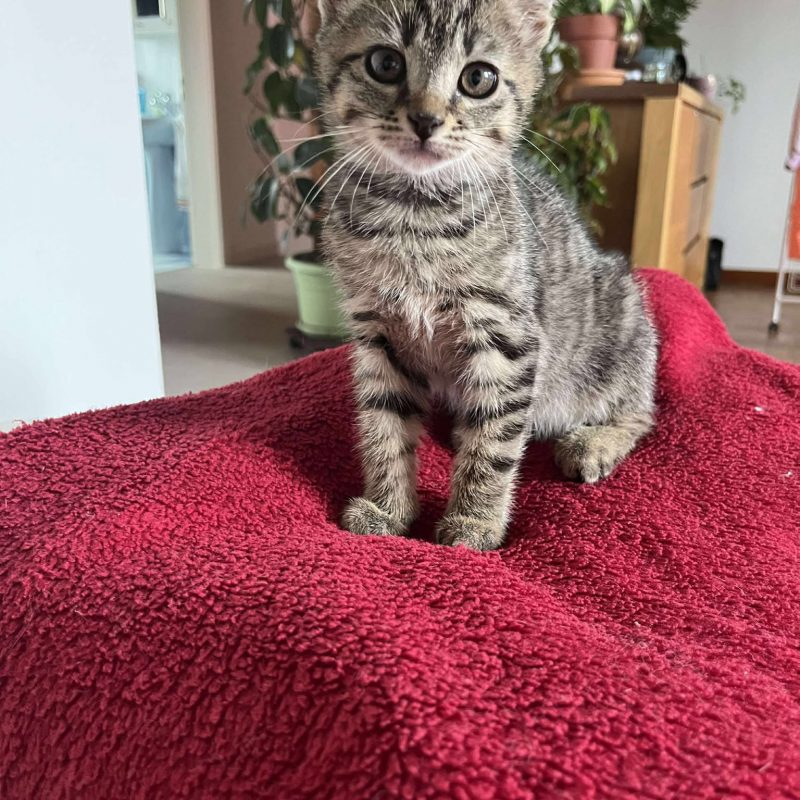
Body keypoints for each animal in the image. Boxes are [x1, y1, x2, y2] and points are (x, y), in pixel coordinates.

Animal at [315, 0, 658, 551]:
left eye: (479, 78)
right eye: (385, 64)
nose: (426, 119)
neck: (415, 215)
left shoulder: (507, 335)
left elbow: (494, 437)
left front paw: (475, 521)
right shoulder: (376, 332)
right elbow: (383, 423)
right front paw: (388, 507)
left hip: (622, 314)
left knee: (640, 409)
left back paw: (593, 442)